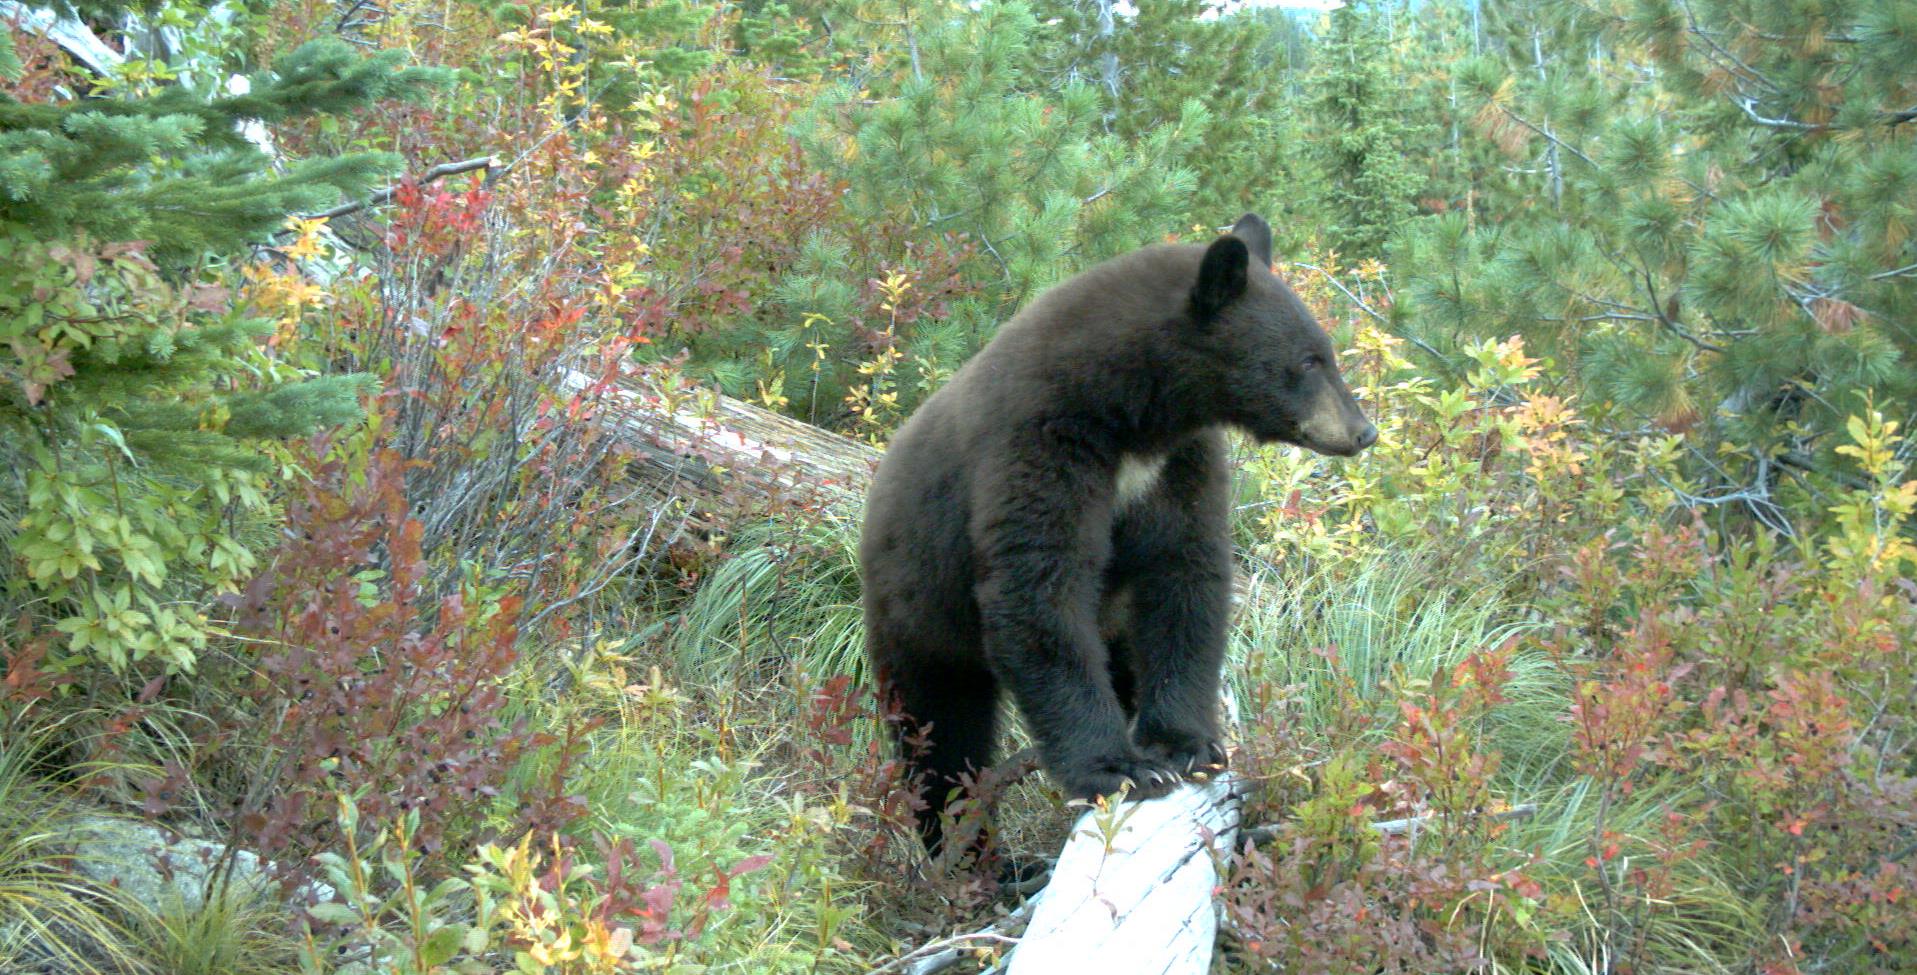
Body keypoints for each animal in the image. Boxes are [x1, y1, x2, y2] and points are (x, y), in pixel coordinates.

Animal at [858, 210, 1380, 850]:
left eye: (1325, 353)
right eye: (1310, 360)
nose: (1362, 431)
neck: (1131, 415)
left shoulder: (1180, 462)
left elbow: (1185, 577)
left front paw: (1187, 744)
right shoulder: (1040, 442)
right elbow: (1040, 589)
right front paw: (1119, 767)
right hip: (921, 624)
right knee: (943, 745)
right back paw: (970, 853)